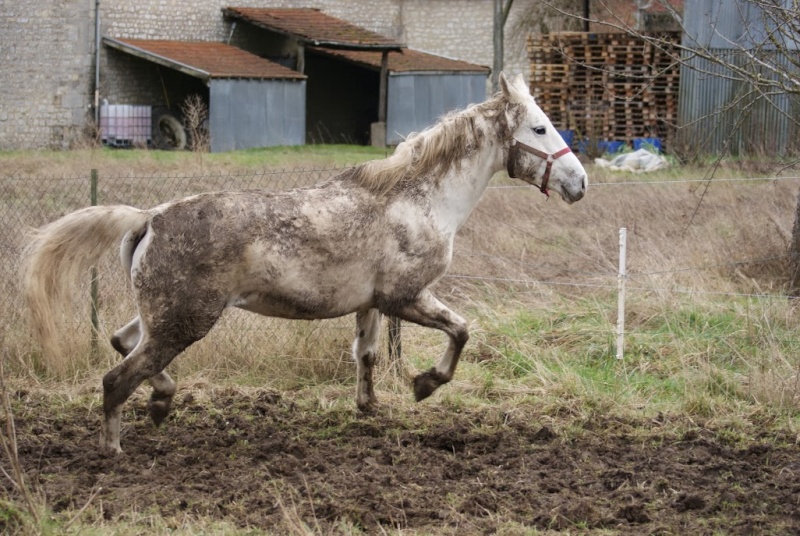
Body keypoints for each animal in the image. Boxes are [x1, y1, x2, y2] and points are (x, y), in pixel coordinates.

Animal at [23, 73, 588, 454]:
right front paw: (425, 385)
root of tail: (149, 218)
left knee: (123, 343)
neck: (420, 200)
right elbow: (461, 330)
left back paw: (162, 402)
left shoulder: (370, 304)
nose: (580, 183)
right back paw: (115, 447)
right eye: (539, 128)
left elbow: (367, 355)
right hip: (185, 320)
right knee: (117, 377)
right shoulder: (405, 297)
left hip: (164, 317)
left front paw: (370, 407)